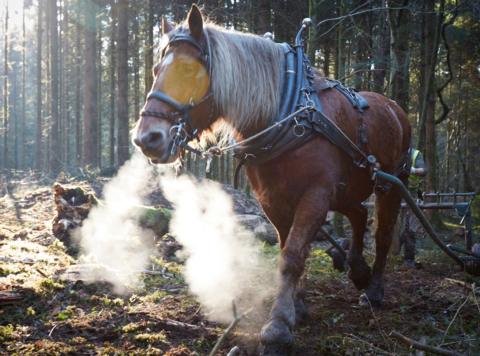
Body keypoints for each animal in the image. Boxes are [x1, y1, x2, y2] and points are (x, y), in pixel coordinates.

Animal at [133, 4, 410, 354]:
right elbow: (288, 249)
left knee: (384, 233)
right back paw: (358, 269)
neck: (286, 113)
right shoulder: (273, 199)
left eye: (189, 70)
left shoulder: (316, 195)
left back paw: (373, 289)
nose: (147, 138)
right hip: (347, 189)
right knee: (359, 214)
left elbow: (292, 256)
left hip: (389, 184)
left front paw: (278, 326)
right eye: (157, 68)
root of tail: (393, 107)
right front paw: (297, 305)